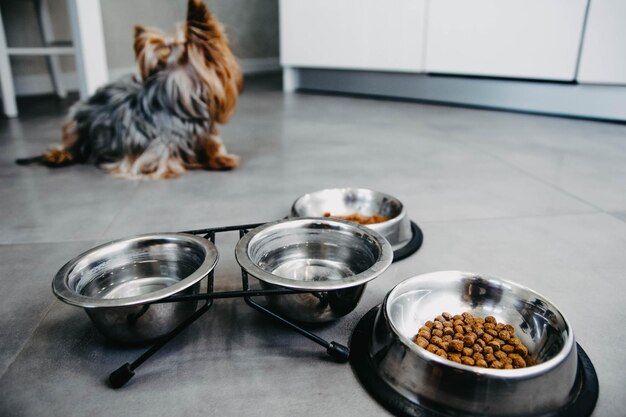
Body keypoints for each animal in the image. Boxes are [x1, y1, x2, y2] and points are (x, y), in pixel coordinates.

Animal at [17, 0, 241, 177]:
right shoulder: (150, 157)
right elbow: (164, 163)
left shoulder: (205, 136)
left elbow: (212, 148)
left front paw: (221, 159)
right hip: (74, 121)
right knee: (68, 144)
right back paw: (58, 155)